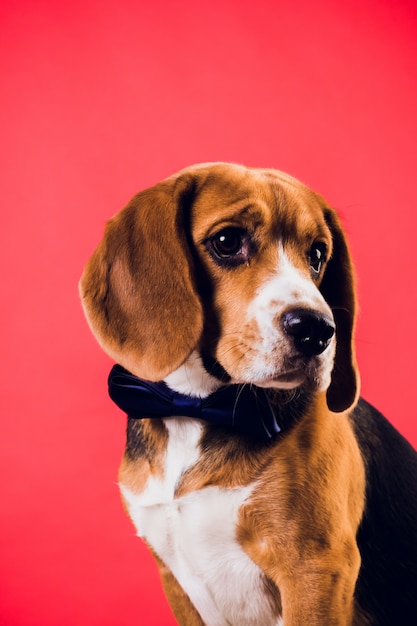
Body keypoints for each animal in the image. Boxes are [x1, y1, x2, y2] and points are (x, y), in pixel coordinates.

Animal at [79, 162, 416, 624]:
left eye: (317, 255)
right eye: (227, 242)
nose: (317, 331)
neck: (201, 409)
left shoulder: (316, 571)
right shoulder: (174, 579)